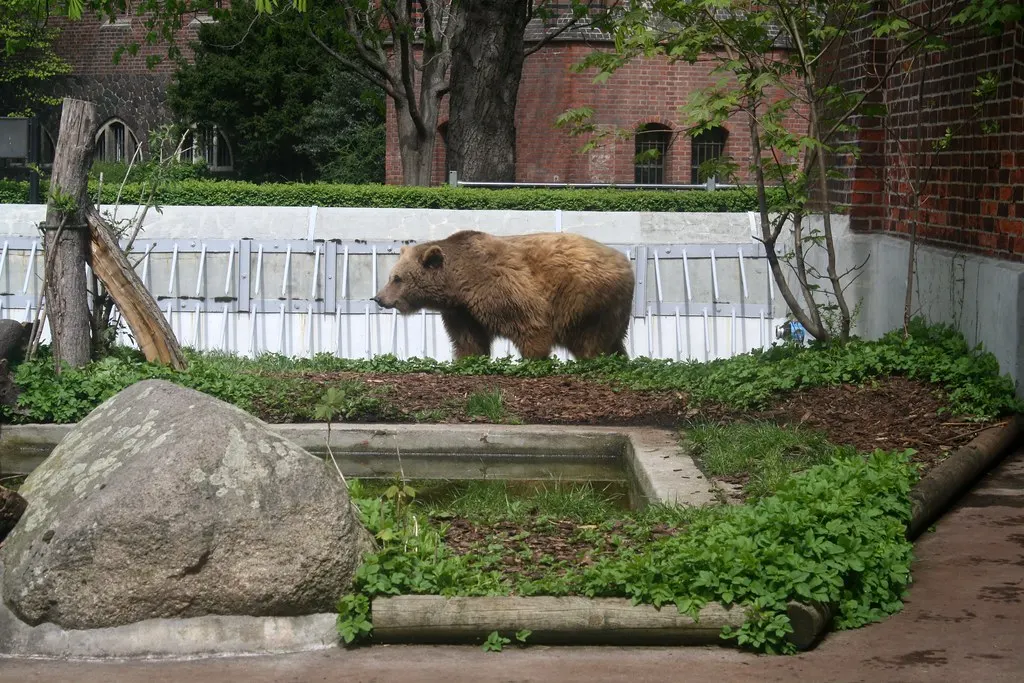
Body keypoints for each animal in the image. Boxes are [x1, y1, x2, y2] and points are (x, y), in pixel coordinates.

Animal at [372, 230, 634, 360]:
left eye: (397, 278)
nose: (379, 298)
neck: (460, 285)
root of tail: (625, 262)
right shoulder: (462, 312)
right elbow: (469, 342)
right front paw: (466, 360)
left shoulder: (501, 289)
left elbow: (531, 325)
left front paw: (533, 359)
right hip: (613, 311)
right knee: (614, 341)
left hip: (586, 298)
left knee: (589, 340)